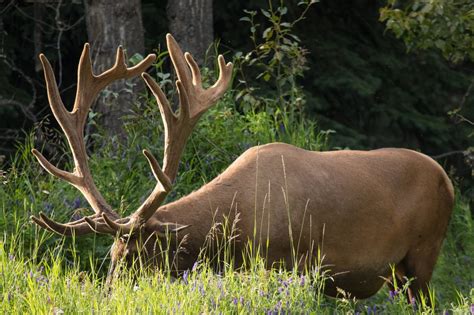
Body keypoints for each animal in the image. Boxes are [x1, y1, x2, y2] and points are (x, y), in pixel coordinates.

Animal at [31, 33, 454, 302]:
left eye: (136, 256)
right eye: (111, 257)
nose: (107, 296)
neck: (236, 230)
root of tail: (447, 180)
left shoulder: (294, 263)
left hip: (425, 253)